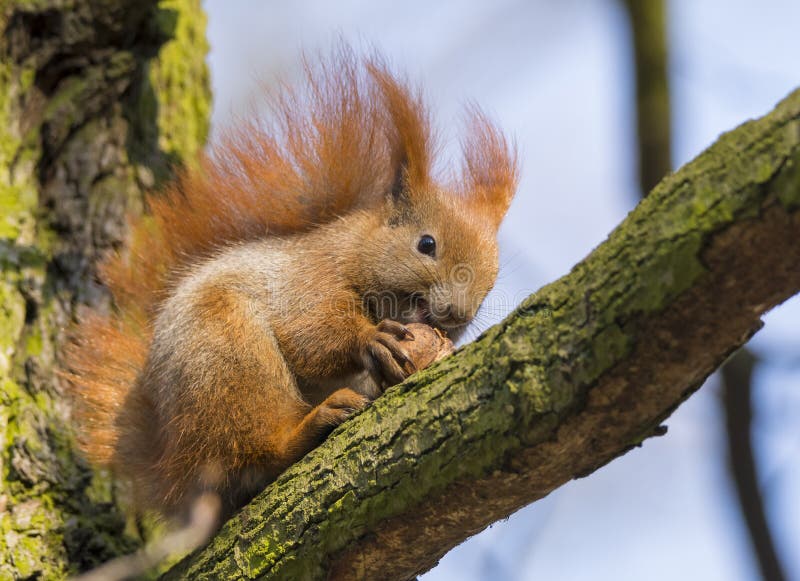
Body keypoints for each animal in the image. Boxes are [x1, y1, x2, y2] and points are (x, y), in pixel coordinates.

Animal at [63, 48, 518, 521]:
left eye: (491, 283)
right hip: (225, 357)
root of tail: (172, 463)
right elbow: (309, 329)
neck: (354, 248)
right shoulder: (310, 275)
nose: (457, 314)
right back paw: (306, 429)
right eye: (426, 244)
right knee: (250, 451)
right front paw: (371, 339)